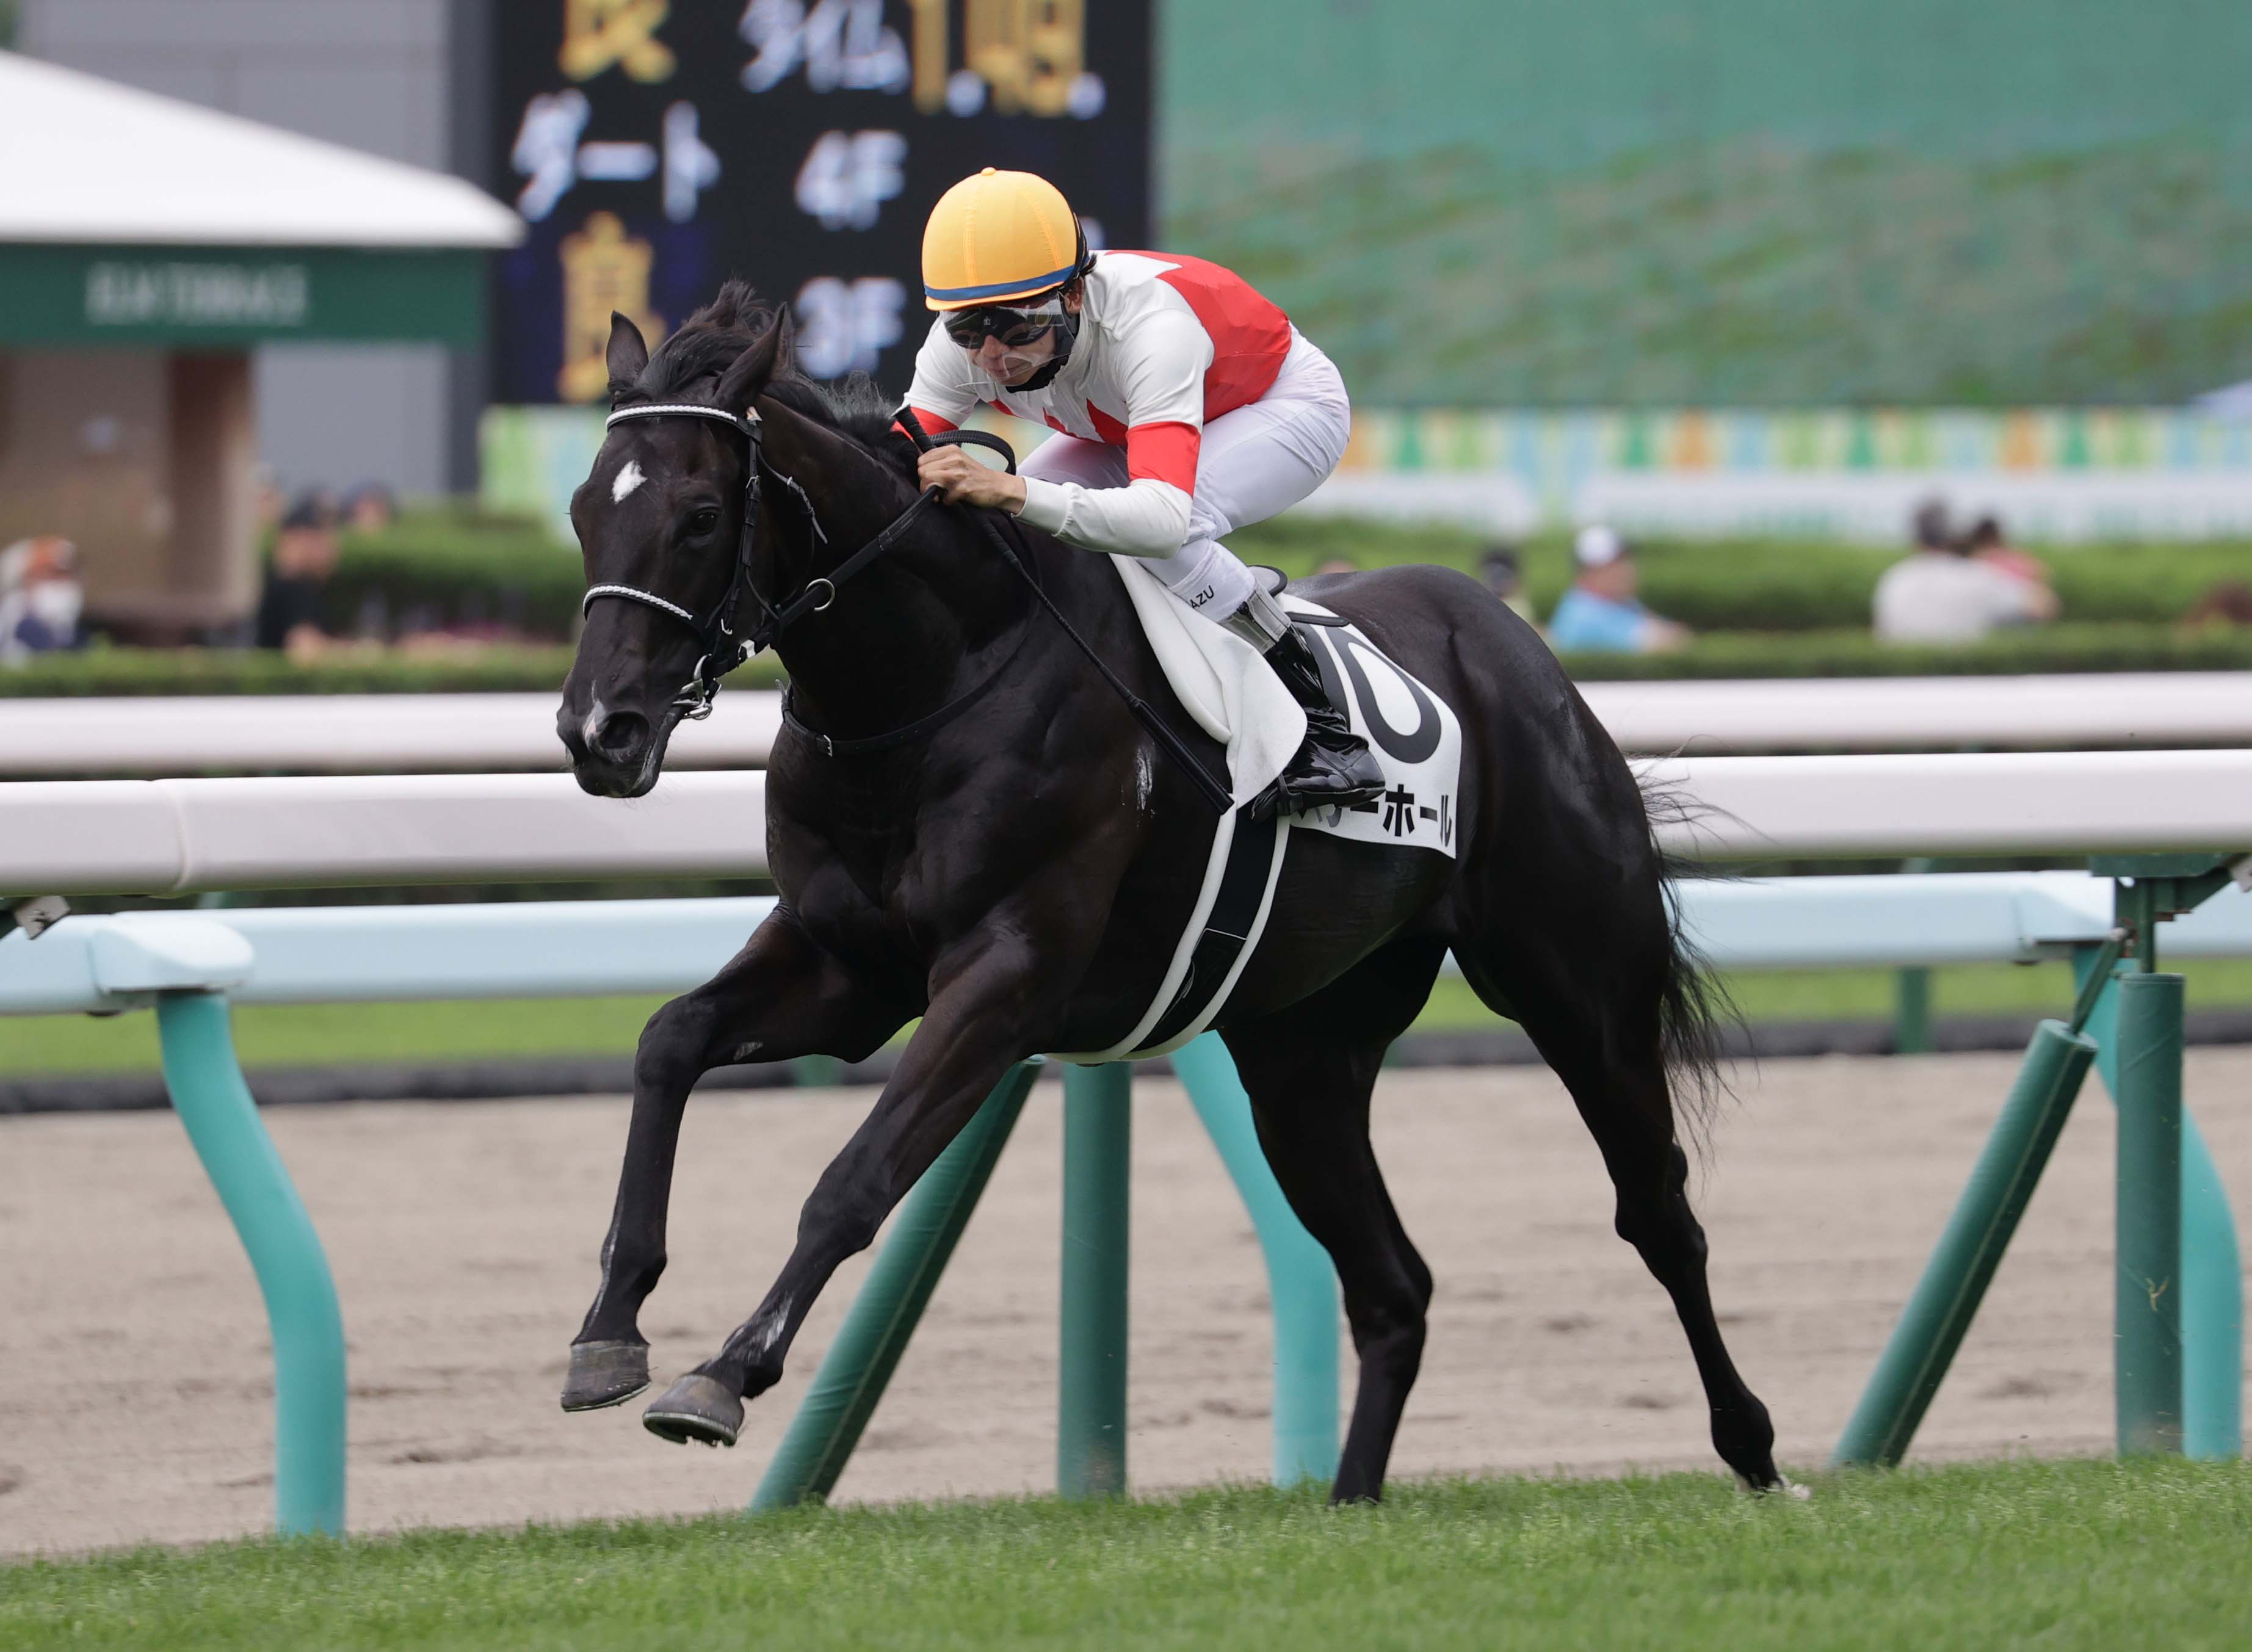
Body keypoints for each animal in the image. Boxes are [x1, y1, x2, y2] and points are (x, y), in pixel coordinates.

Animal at [552, 281, 1783, 1504]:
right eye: (579, 511)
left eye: (700, 514)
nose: (597, 730)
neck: (936, 679)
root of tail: (1508, 642)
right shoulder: (849, 964)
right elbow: (669, 1042)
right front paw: (608, 1329)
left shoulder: (1006, 973)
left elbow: (854, 1179)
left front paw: (725, 1373)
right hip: (1302, 1053)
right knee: (1394, 1287)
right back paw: (1348, 1499)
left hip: (1579, 987)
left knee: (1658, 1215)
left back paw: (1754, 1447)